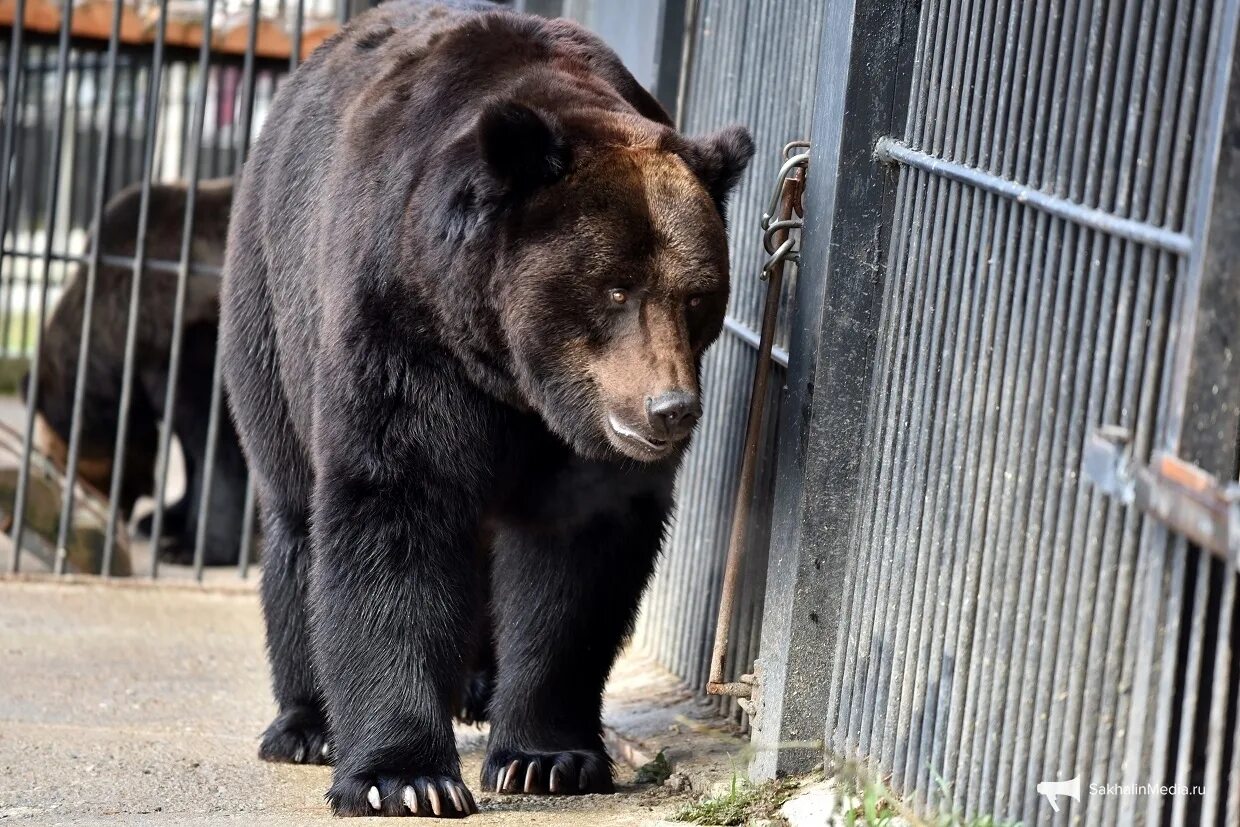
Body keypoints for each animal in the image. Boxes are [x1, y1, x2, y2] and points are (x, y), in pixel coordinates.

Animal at [218, 0, 748, 813]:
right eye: (615, 289)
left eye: (697, 296)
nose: (669, 408)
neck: (512, 373)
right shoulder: (405, 330)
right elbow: (395, 508)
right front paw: (405, 775)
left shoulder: (574, 441)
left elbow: (574, 565)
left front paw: (546, 756)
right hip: (270, 307)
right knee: (295, 511)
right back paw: (307, 723)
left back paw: (476, 686)